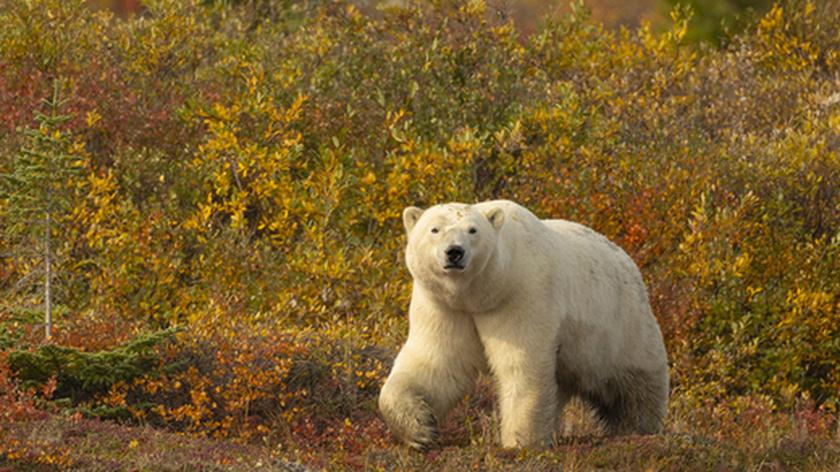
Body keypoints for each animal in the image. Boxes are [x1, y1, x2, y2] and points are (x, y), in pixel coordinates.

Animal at [380, 200, 668, 450]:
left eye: (473, 230)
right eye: (434, 229)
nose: (454, 252)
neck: (480, 294)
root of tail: (629, 261)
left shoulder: (521, 296)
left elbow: (522, 365)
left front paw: (521, 441)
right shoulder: (445, 308)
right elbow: (435, 363)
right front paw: (420, 429)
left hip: (619, 325)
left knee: (634, 381)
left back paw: (637, 426)